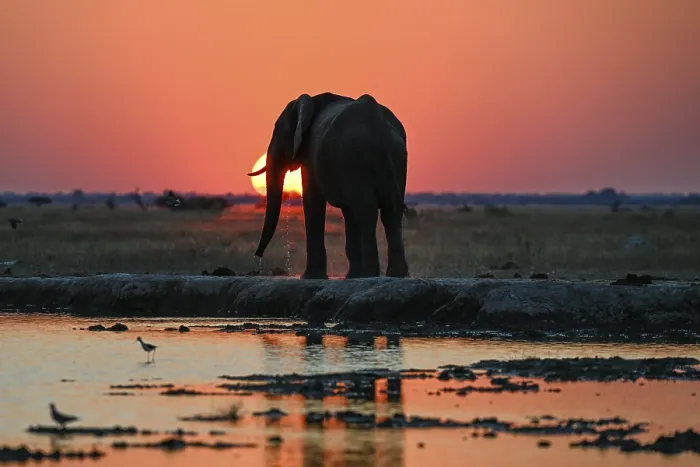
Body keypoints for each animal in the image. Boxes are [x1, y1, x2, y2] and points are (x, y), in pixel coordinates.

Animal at [247, 92, 409, 280]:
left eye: (277, 132)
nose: (257, 255)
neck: (311, 101)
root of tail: (379, 127)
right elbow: (348, 213)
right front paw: (351, 276)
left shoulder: (313, 155)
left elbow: (313, 201)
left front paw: (310, 277)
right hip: (398, 159)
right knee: (391, 212)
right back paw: (395, 274)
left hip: (356, 160)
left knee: (366, 212)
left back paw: (370, 275)